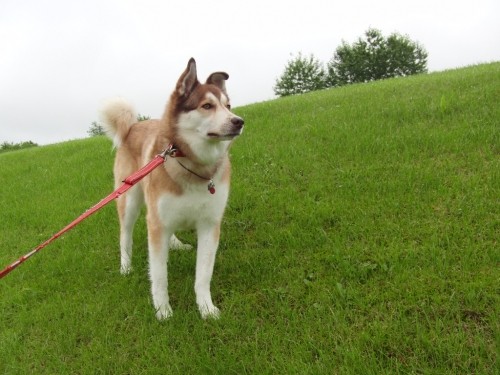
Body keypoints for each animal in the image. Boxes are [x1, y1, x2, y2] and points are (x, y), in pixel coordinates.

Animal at [100, 58, 244, 320]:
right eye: (207, 106)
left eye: (228, 105)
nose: (239, 121)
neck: (194, 167)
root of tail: (132, 126)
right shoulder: (157, 225)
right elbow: (159, 276)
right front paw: (163, 311)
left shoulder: (210, 223)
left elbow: (203, 275)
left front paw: (207, 309)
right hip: (130, 199)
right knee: (125, 235)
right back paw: (125, 266)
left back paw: (175, 243)